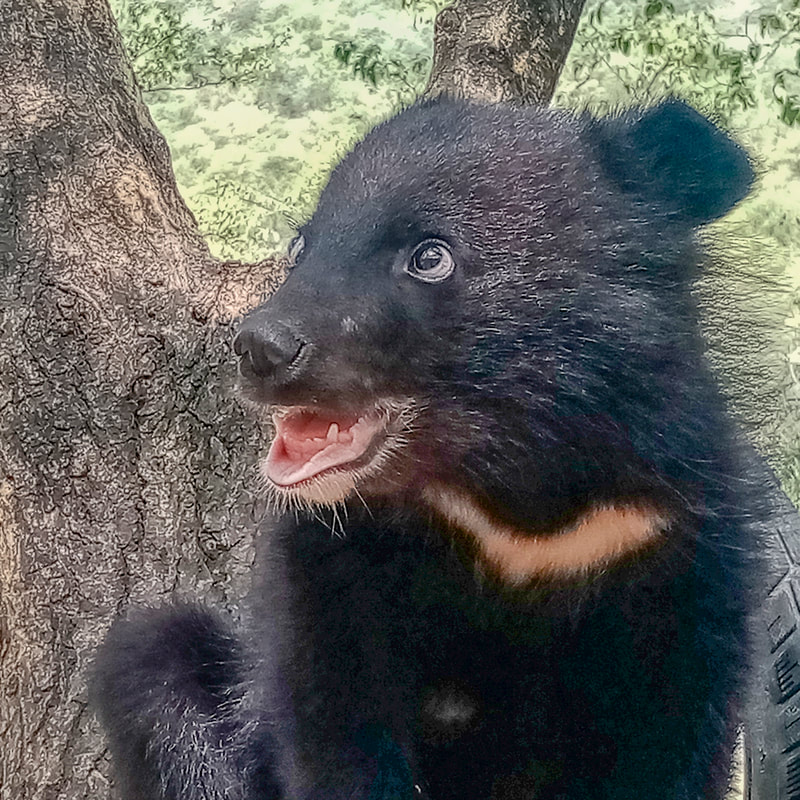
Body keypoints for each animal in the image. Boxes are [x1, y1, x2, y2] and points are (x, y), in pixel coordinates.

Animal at [91, 97, 759, 800]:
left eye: (429, 257)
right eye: (300, 246)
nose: (258, 349)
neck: (508, 477)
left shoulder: (677, 548)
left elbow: (672, 741)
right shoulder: (332, 557)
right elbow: (336, 725)